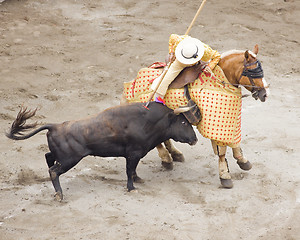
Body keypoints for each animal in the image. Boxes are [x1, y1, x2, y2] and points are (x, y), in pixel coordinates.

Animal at [5, 102, 197, 200]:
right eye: (183, 123)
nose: (195, 139)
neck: (148, 121)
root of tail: (55, 126)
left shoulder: (134, 155)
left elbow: (133, 169)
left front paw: (138, 180)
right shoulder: (133, 153)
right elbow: (129, 170)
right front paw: (131, 188)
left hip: (62, 156)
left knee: (48, 157)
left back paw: (55, 191)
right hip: (69, 160)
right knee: (53, 171)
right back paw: (59, 195)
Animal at [122, 44, 270, 188]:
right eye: (253, 72)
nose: (265, 94)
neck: (220, 82)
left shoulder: (232, 120)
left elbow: (235, 141)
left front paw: (243, 161)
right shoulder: (216, 126)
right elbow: (222, 151)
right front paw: (225, 176)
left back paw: (175, 154)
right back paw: (167, 159)